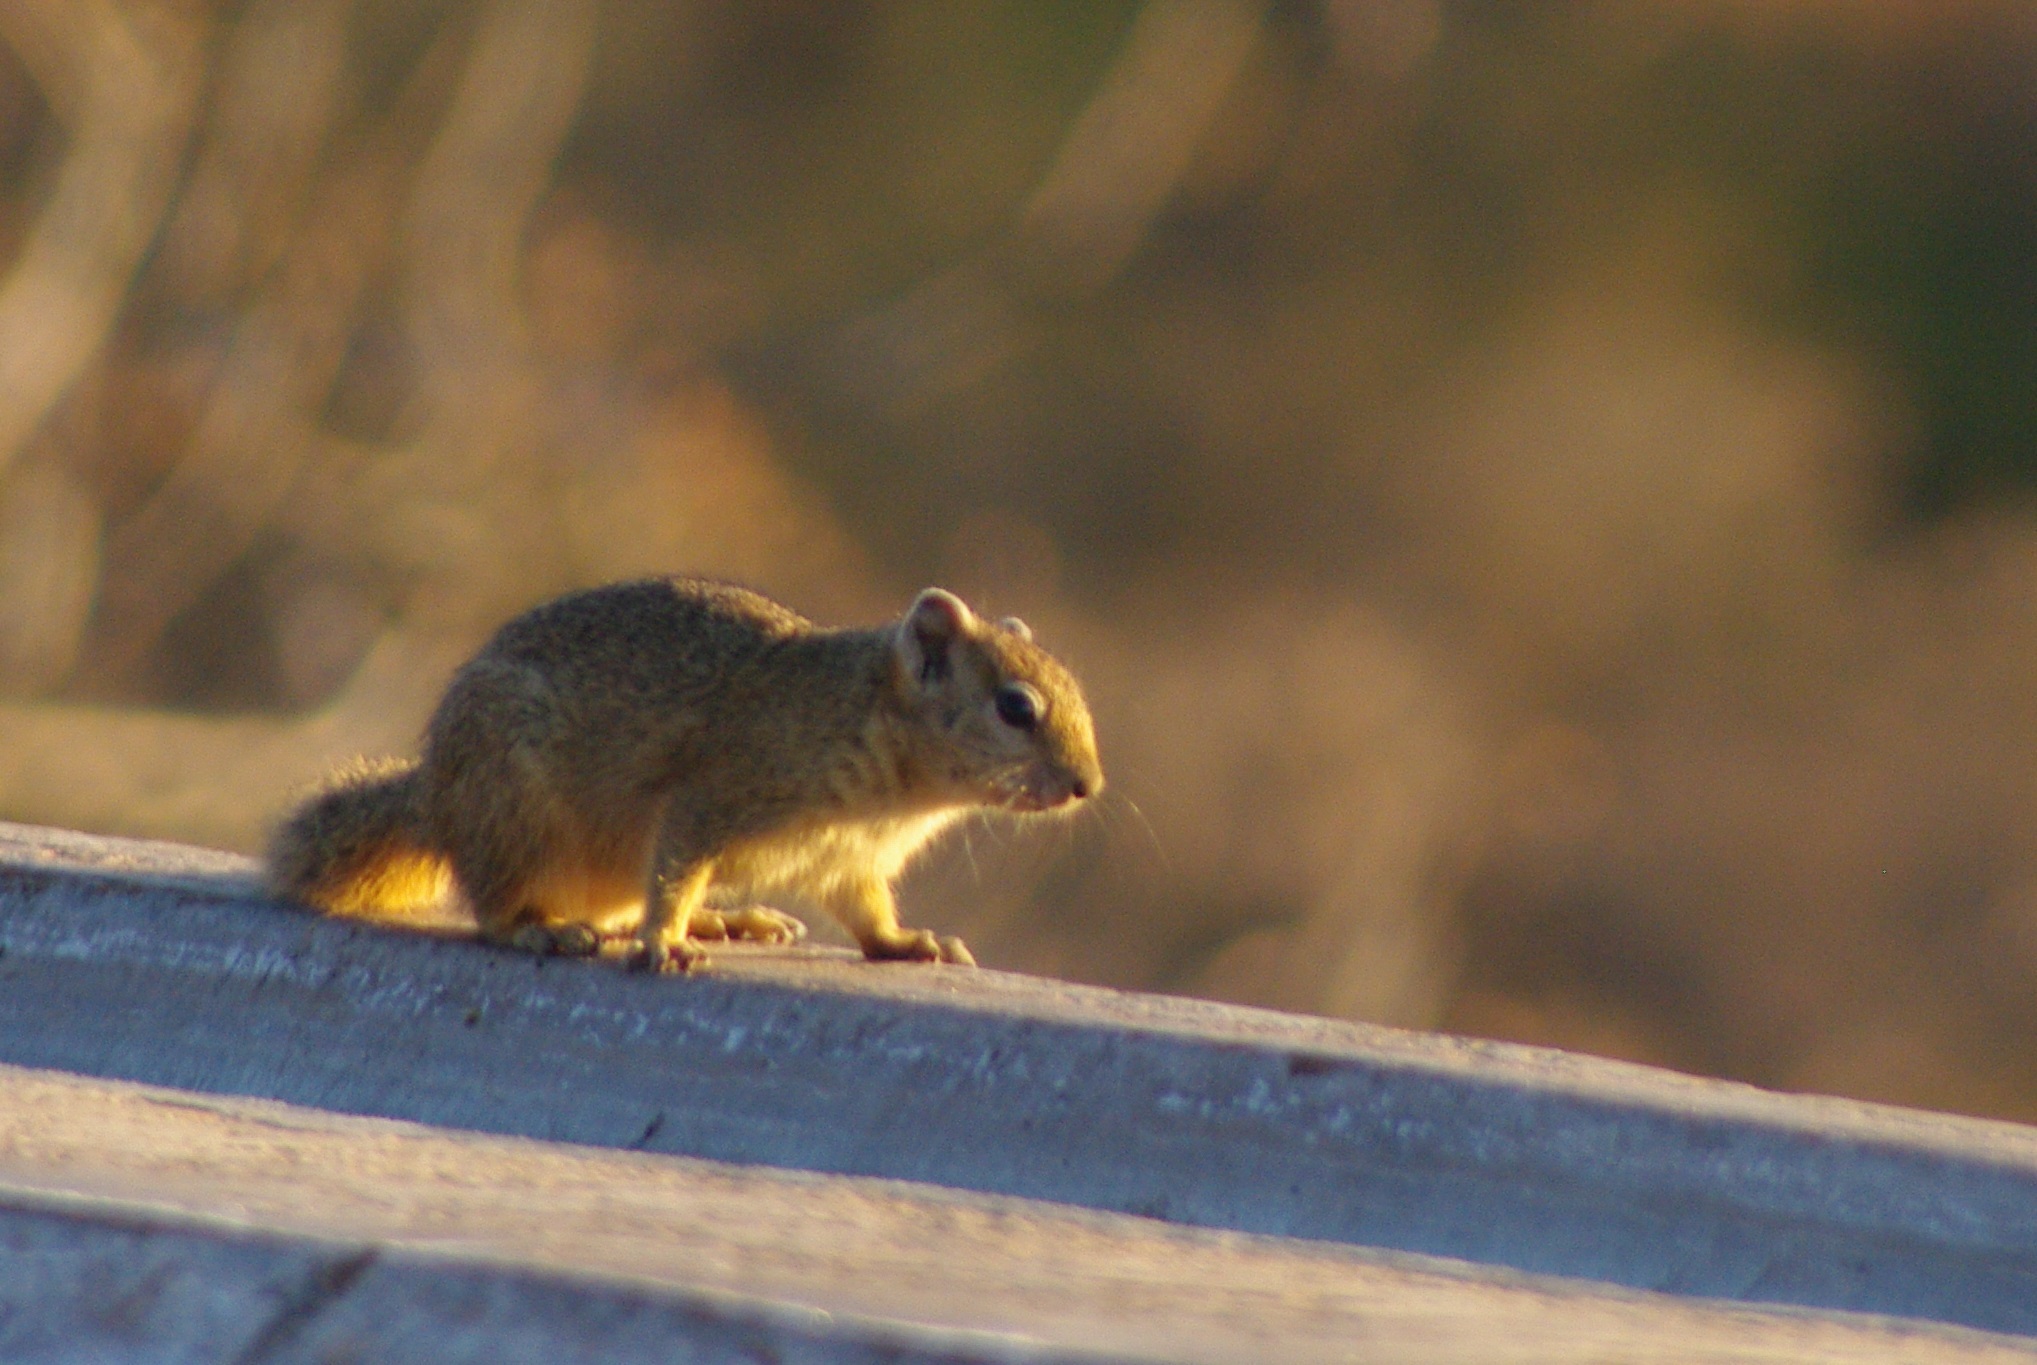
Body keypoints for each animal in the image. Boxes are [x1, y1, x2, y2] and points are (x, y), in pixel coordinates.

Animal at [270, 578, 1108, 973]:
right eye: (1015, 706)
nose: (1085, 786)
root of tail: (436, 795)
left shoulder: (852, 861)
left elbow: (866, 913)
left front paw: (908, 941)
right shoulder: (717, 794)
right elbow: (675, 863)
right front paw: (666, 940)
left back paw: (726, 919)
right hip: (512, 808)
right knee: (500, 906)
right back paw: (547, 929)